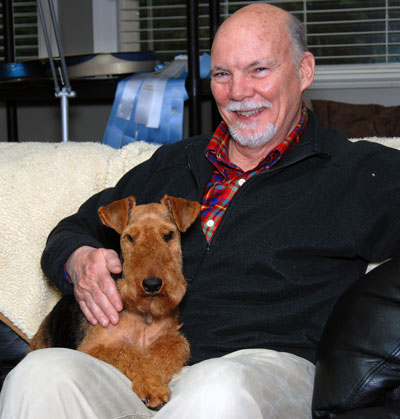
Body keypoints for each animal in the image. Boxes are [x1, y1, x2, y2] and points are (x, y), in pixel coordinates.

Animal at [29, 196, 202, 410]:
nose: (152, 284)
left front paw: (154, 381)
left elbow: (175, 346)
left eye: (168, 235)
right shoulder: (92, 348)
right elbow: (128, 351)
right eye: (130, 237)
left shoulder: (170, 336)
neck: (145, 314)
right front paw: (152, 385)